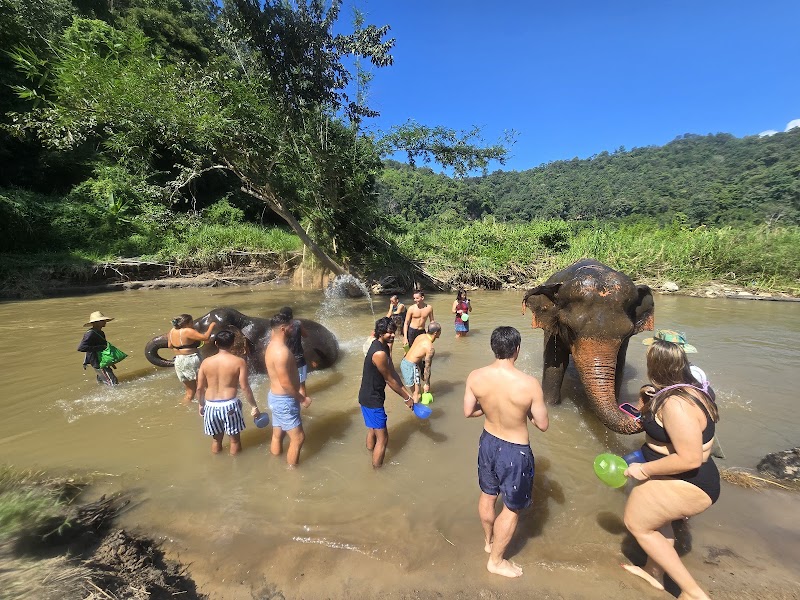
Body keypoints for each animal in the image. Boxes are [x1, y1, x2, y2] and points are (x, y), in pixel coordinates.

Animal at [522, 259, 654, 434]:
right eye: (570, 329)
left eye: (627, 333)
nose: (649, 391)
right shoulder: (551, 326)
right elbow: (555, 365)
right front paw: (551, 406)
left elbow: (619, 368)